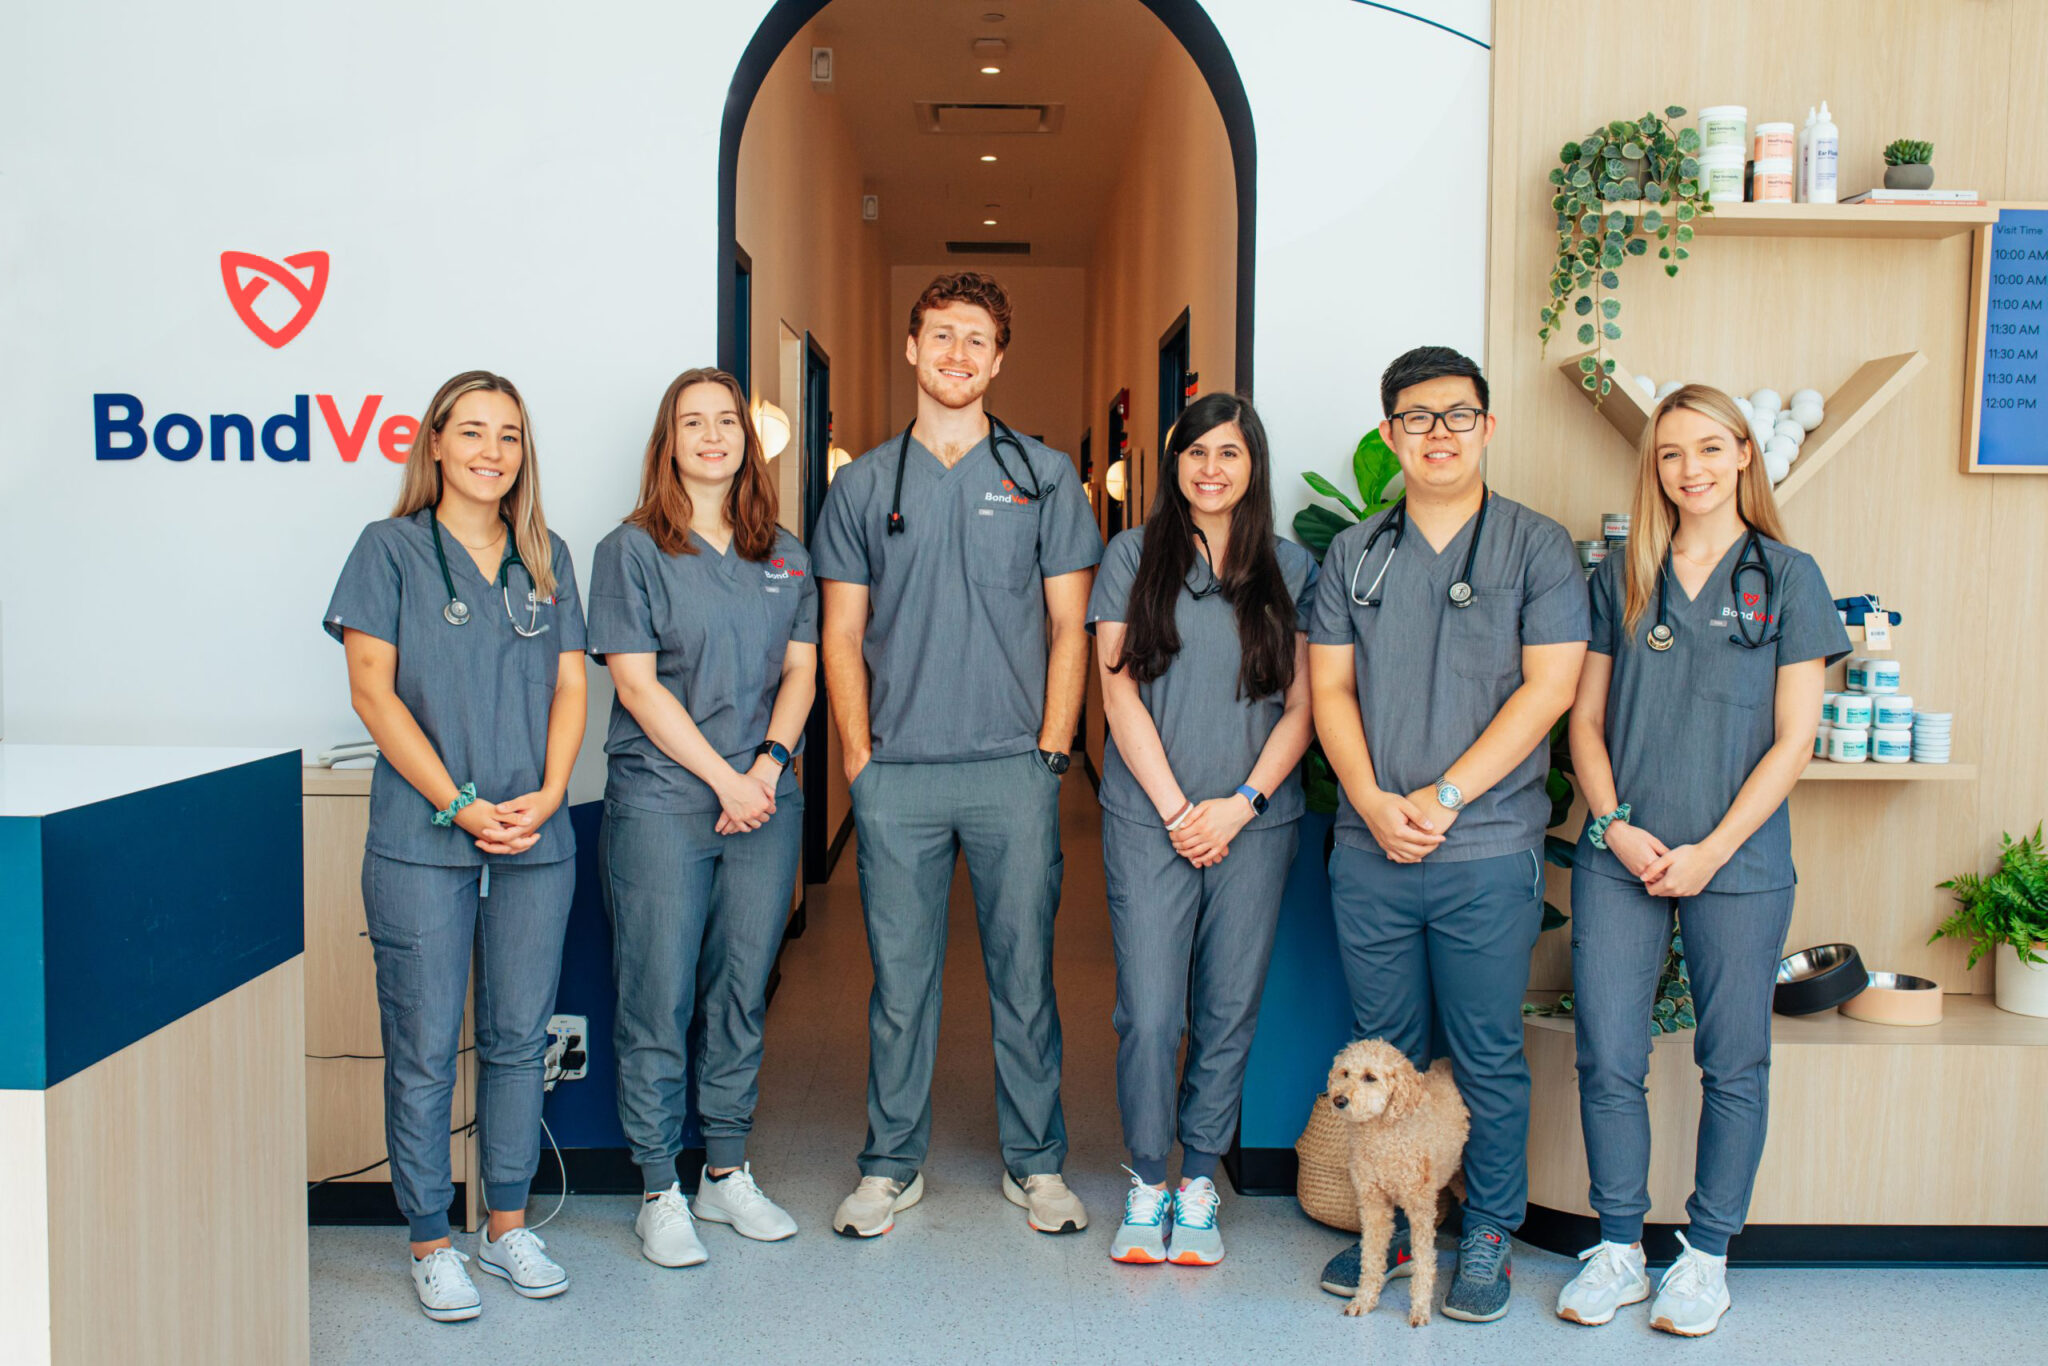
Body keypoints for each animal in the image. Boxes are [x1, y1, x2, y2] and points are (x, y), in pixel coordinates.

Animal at [1327, 1040, 1474, 1318]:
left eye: (1370, 1077)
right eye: (1345, 1073)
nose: (1338, 1099)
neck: (1383, 1137)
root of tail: (1445, 1063)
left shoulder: (1421, 1209)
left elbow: (1424, 1261)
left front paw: (1420, 1308)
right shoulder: (1373, 1204)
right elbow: (1371, 1257)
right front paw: (1364, 1299)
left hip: (1461, 1178)